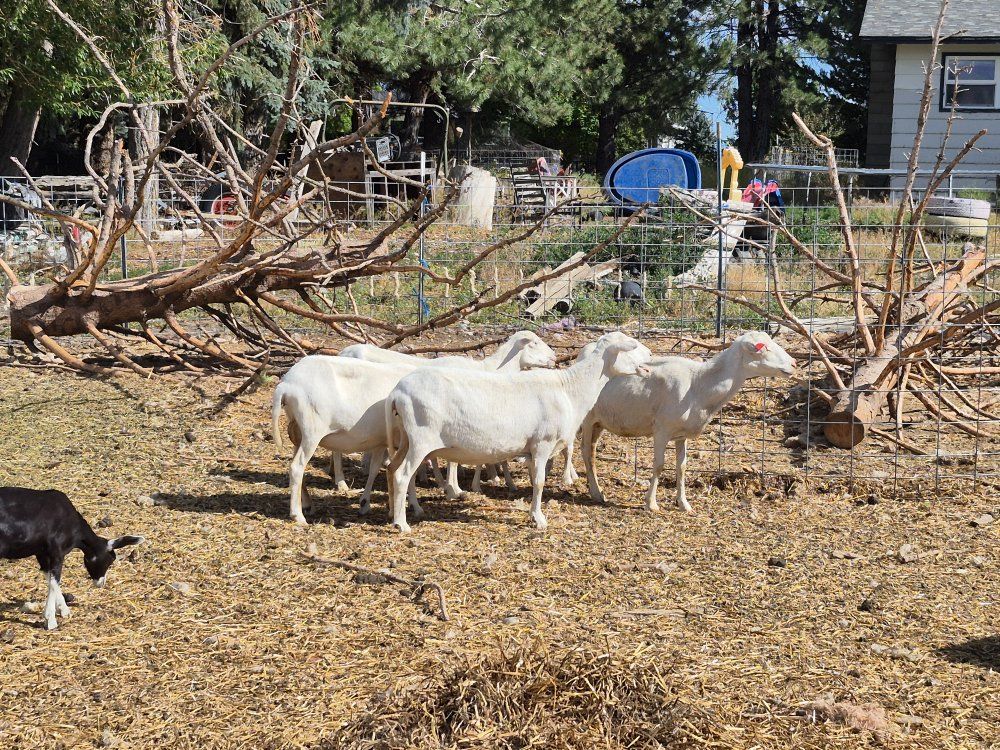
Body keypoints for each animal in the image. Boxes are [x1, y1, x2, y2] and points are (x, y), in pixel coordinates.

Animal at [0, 487, 144, 630]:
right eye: (109, 560)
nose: (100, 583)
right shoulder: (57, 551)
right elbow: (55, 580)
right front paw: (50, 620)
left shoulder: (41, 554)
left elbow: (49, 578)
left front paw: (64, 610)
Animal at [271, 336, 557, 524]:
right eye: (534, 343)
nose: (554, 358)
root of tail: (286, 383)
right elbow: (445, 462)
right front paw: (453, 488)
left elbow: (393, 469)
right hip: (314, 429)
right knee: (303, 465)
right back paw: (307, 508)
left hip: (299, 430)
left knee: (297, 465)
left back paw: (308, 502)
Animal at [384, 332, 652, 532]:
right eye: (632, 345)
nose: (651, 356)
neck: (570, 389)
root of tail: (397, 392)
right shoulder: (542, 443)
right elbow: (540, 481)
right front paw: (539, 519)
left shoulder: (532, 448)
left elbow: (534, 479)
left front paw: (533, 513)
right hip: (421, 438)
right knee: (403, 475)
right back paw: (401, 524)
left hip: (406, 439)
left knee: (393, 469)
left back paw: (404, 510)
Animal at [581, 331, 796, 513]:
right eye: (762, 348)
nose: (794, 364)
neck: (699, 384)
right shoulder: (662, 429)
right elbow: (659, 465)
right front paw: (651, 504)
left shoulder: (680, 435)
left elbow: (681, 467)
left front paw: (684, 504)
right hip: (588, 418)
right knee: (585, 452)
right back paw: (596, 493)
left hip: (600, 422)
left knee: (591, 451)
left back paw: (596, 490)